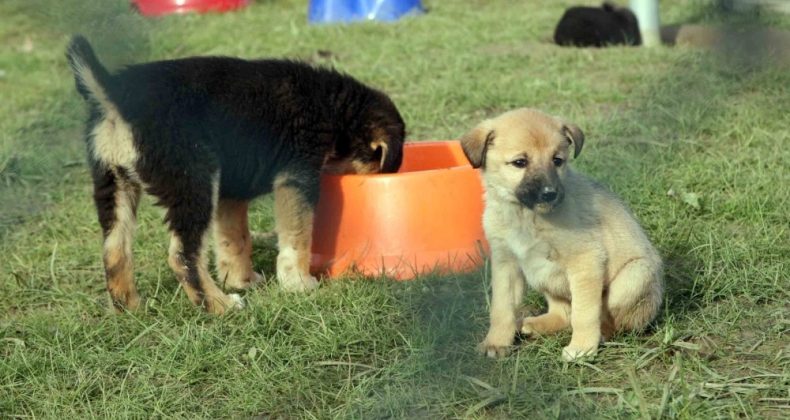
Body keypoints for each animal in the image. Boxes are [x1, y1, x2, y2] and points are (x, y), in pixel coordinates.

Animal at [65, 36, 406, 314]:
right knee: (183, 255)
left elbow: (235, 239)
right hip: (194, 181)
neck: (333, 108)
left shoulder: (231, 192)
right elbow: (297, 236)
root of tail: (115, 96)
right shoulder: (297, 176)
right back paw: (220, 306)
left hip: (114, 185)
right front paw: (298, 283)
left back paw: (131, 308)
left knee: (115, 251)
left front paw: (241, 280)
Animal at [460, 108, 664, 360]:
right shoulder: (506, 264)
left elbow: (585, 313)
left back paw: (602, 335)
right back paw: (535, 324)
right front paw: (496, 342)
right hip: (543, 278)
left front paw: (582, 348)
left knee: (616, 320)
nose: (550, 193)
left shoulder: (586, 261)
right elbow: (502, 309)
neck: (525, 216)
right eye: (519, 162)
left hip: (634, 277)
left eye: (557, 161)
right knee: (564, 314)